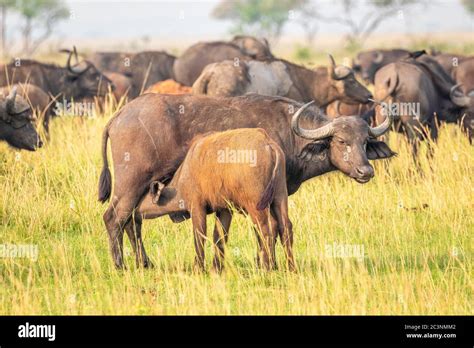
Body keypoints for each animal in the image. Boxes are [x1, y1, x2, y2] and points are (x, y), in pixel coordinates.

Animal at [145, 128, 292, 272]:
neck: (183, 174)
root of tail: (268, 144)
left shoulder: (197, 206)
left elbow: (200, 235)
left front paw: (199, 268)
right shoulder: (225, 209)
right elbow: (219, 236)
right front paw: (216, 268)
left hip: (256, 206)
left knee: (266, 228)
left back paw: (266, 267)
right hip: (279, 198)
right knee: (284, 227)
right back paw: (289, 267)